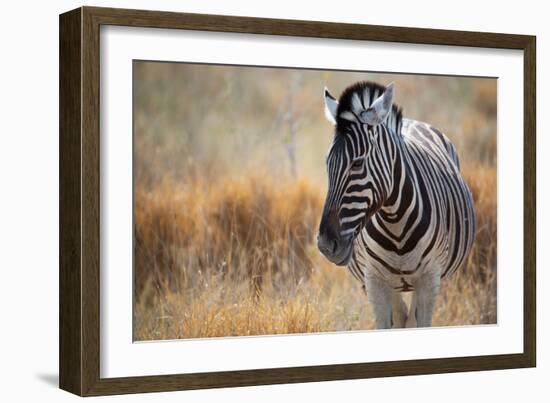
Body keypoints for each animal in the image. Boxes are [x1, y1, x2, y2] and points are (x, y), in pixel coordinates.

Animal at [316, 81, 476, 328]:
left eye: (357, 164)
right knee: (401, 315)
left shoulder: (429, 278)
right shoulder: (374, 281)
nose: (325, 244)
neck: (395, 222)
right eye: (327, 163)